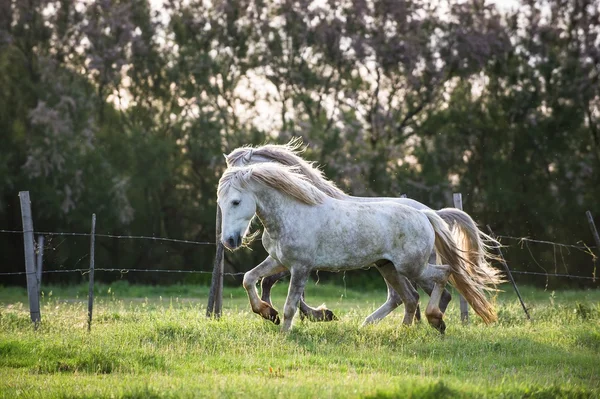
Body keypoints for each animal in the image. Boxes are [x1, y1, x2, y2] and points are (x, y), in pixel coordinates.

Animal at [225, 139, 502, 324]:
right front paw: (282, 313)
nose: (231, 238)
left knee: (431, 293)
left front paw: (314, 314)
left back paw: (423, 323)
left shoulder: (301, 262)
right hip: (389, 266)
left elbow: (279, 286)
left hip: (410, 267)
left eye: (236, 170)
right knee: (409, 297)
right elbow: (266, 281)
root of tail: (431, 213)